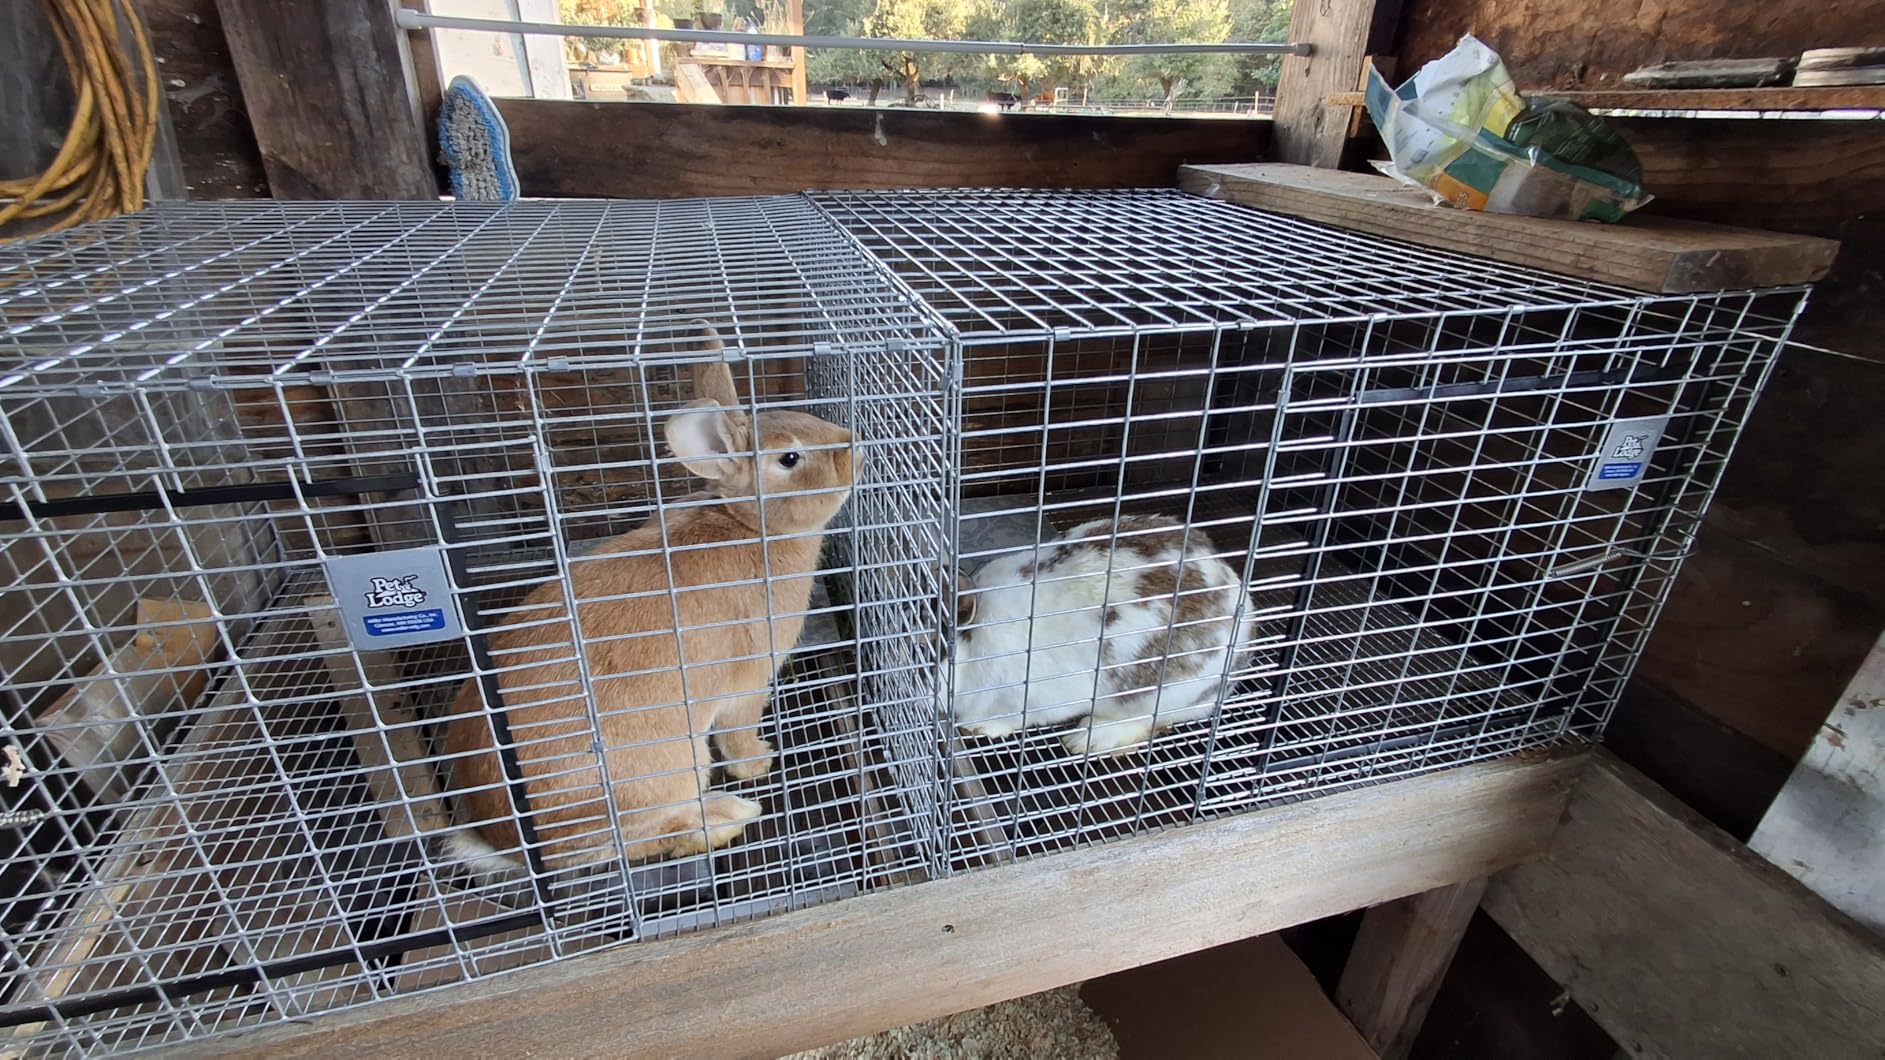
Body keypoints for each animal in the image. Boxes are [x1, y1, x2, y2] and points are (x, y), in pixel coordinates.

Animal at [438, 323, 856, 880]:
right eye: (789, 458)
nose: (854, 447)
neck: (748, 525)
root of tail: (507, 842)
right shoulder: (747, 683)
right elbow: (738, 731)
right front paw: (757, 761)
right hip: (669, 769)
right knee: (643, 839)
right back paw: (727, 817)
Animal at [943, 514, 1255, 757]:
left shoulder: (1030, 699)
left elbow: (1014, 718)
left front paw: (978, 727)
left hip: (1164, 694)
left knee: (1150, 721)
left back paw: (1086, 739)